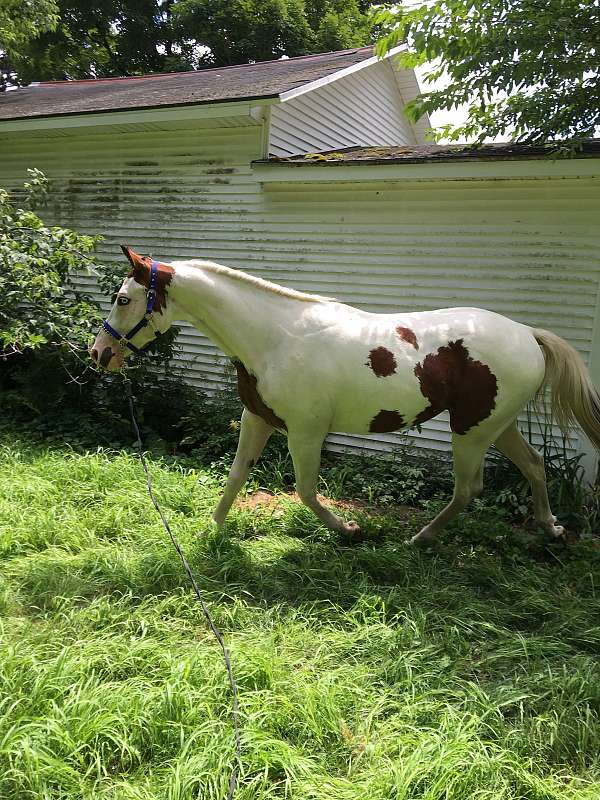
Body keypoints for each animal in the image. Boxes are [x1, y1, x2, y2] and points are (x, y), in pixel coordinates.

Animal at [90, 245, 600, 544]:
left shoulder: (305, 432)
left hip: (472, 431)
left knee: (469, 489)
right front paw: (211, 532)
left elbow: (306, 489)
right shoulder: (258, 419)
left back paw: (421, 538)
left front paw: (349, 529)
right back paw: (550, 527)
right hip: (496, 424)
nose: (99, 353)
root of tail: (528, 334)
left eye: (122, 298)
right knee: (533, 466)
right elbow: (235, 476)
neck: (275, 338)